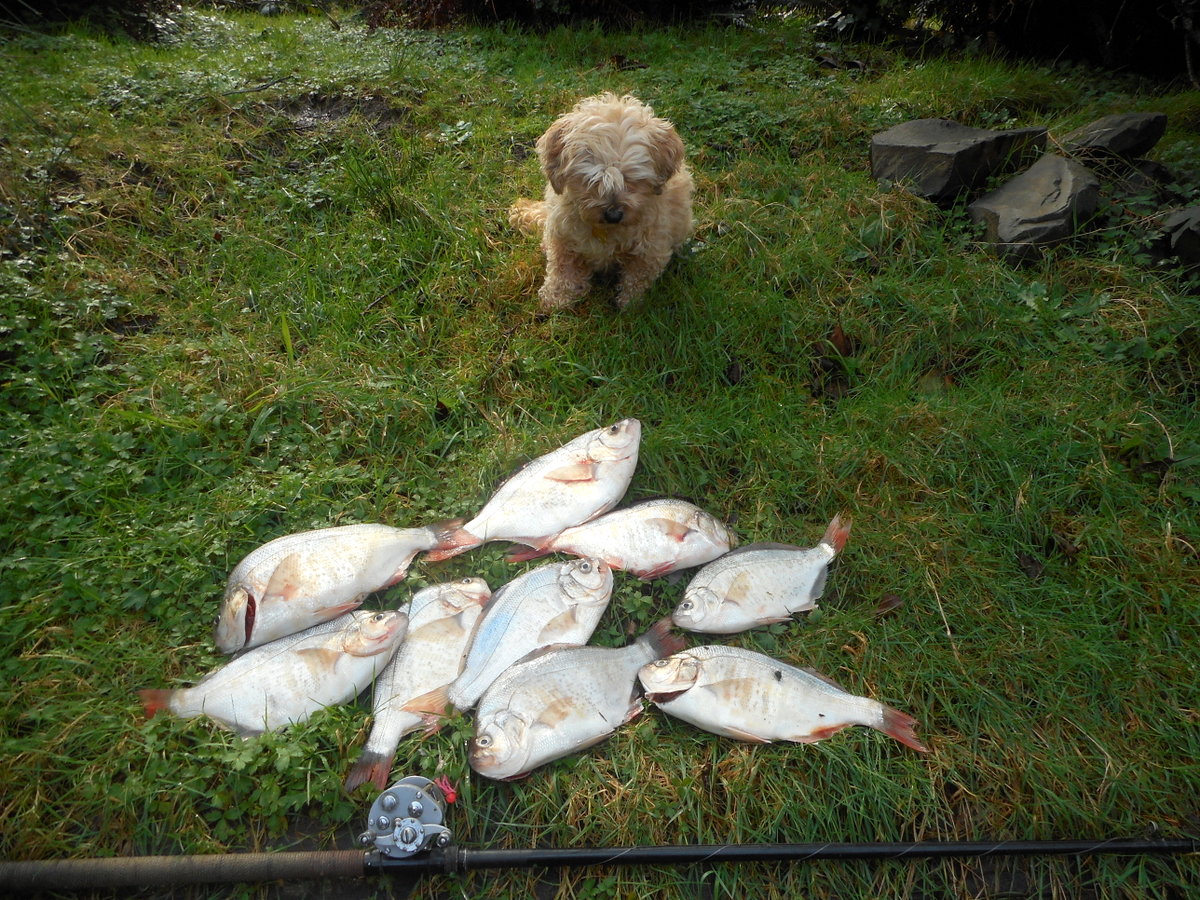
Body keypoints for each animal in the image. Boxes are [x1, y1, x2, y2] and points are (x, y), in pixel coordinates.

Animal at [508, 94, 696, 314]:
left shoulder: (651, 250)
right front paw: (555, 298)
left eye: (631, 179)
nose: (613, 215)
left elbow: (637, 279)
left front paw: (630, 305)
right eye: (592, 180)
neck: (607, 232)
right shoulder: (563, 238)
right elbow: (562, 270)